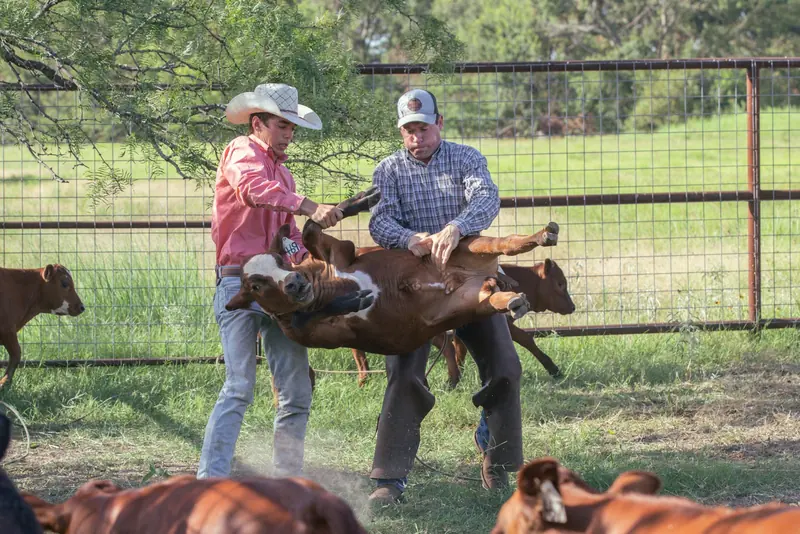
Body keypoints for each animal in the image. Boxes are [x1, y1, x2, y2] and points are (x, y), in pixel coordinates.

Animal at [225, 186, 561, 359]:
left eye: (281, 260)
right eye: (255, 285)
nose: (294, 282)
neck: (324, 286)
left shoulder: (338, 253)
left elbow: (310, 230)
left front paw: (357, 201)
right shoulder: (314, 335)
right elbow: (304, 317)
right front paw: (352, 301)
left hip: (467, 245)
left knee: (508, 243)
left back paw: (543, 234)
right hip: (469, 302)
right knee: (491, 296)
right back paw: (512, 299)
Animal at [350, 258, 576, 388]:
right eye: (560, 283)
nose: (572, 307)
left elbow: (460, 347)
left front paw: (460, 370)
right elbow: (526, 338)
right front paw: (553, 368)